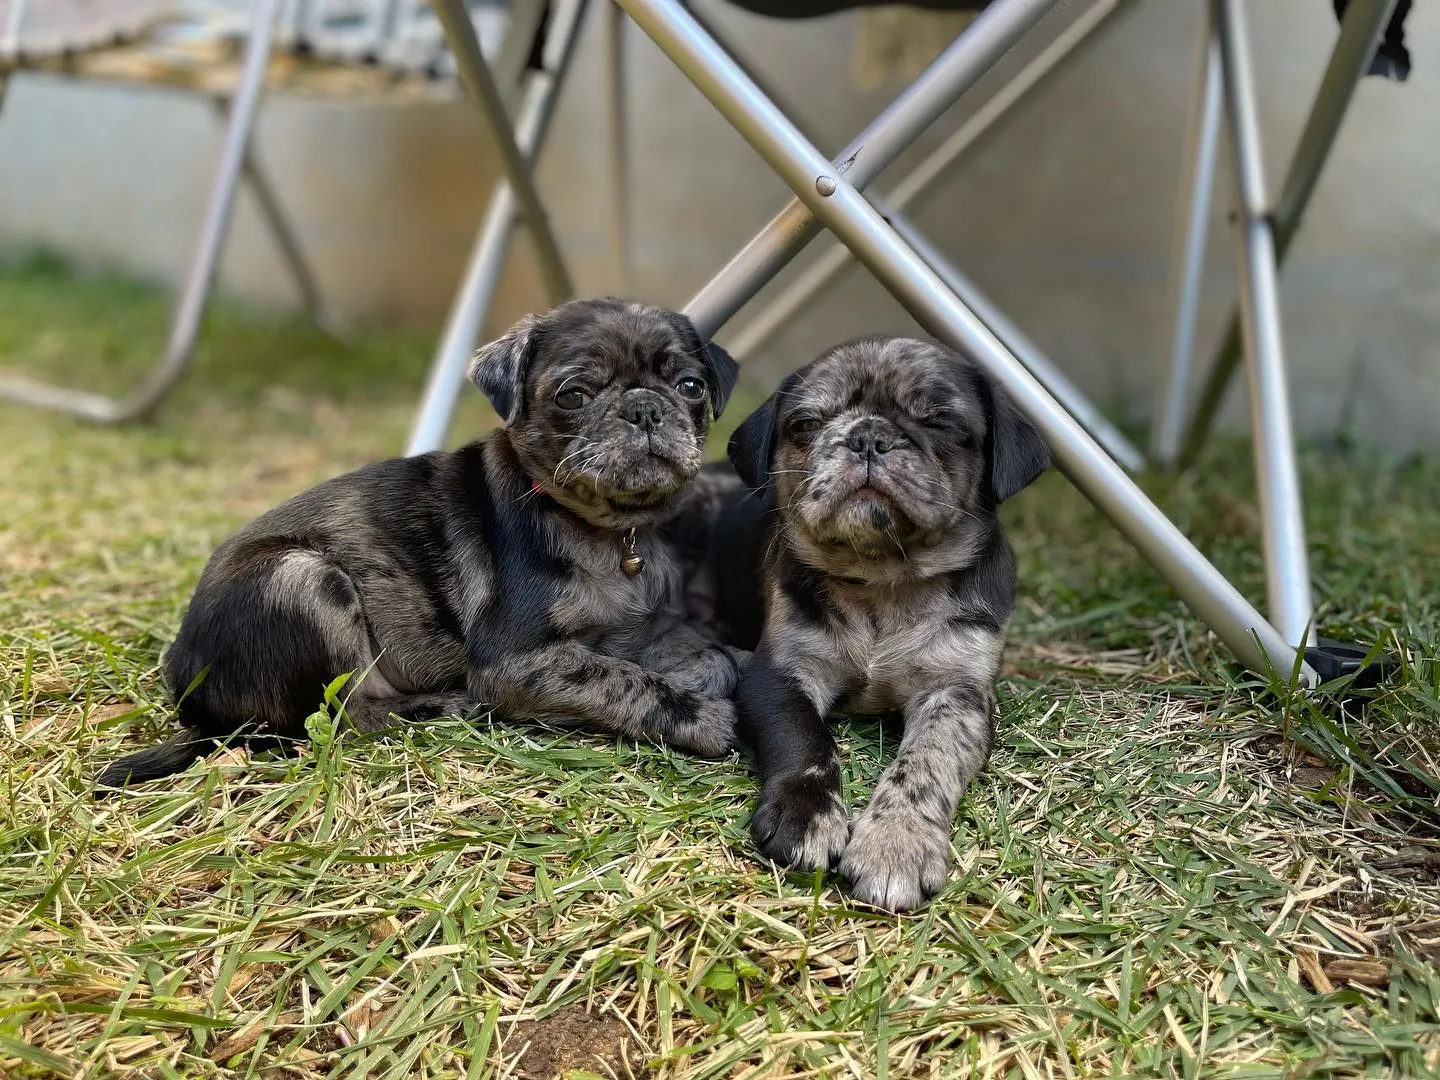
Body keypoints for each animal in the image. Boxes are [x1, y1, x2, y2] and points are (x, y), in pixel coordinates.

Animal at [94, 300, 743, 789]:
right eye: (573, 396)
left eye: (690, 387)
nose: (644, 408)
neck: (610, 529)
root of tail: (185, 681)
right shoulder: (519, 663)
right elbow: (622, 682)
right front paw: (706, 719)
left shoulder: (641, 625)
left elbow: (697, 651)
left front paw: (707, 669)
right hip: (303, 578)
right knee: (340, 718)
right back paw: (441, 706)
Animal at [705, 336, 1054, 915]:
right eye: (806, 424)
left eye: (939, 421)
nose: (868, 437)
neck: (882, 580)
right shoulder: (779, 675)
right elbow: (804, 739)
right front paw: (807, 816)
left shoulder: (956, 692)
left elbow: (925, 762)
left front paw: (896, 844)